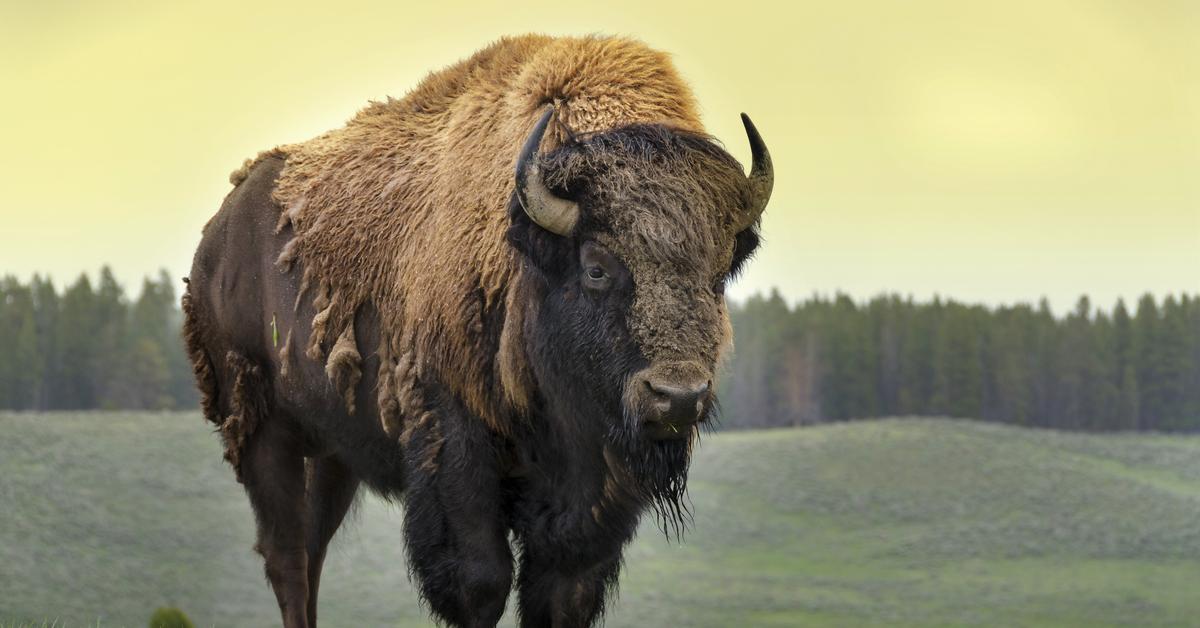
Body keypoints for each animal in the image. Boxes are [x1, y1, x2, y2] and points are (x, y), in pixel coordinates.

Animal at [182, 35, 772, 628]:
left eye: (720, 270)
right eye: (596, 266)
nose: (678, 396)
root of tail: (218, 235)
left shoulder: (592, 491)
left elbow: (562, 591)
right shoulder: (453, 444)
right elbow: (480, 582)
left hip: (333, 453)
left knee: (313, 549)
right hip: (263, 428)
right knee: (287, 556)